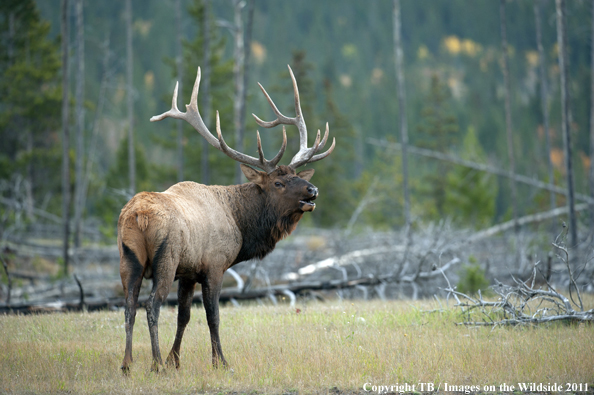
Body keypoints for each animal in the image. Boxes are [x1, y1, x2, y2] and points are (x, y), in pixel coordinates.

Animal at [118, 65, 332, 374]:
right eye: (278, 183)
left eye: (296, 176)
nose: (312, 191)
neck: (241, 224)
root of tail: (137, 215)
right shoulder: (214, 266)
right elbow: (213, 316)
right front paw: (220, 361)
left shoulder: (189, 272)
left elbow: (184, 316)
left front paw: (175, 360)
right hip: (165, 260)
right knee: (151, 306)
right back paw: (155, 364)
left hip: (129, 259)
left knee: (128, 307)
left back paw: (127, 364)